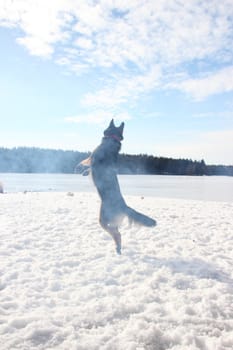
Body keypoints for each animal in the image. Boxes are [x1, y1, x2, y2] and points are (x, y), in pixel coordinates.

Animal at [78, 119, 157, 253]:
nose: (122, 121)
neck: (111, 139)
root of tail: (124, 206)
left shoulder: (92, 157)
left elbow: (86, 163)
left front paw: (81, 169)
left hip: (103, 220)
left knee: (116, 233)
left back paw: (118, 247)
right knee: (117, 233)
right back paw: (118, 248)